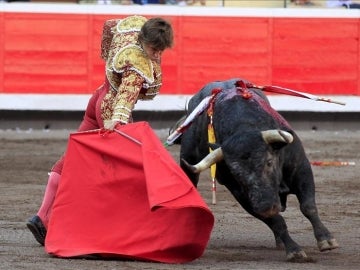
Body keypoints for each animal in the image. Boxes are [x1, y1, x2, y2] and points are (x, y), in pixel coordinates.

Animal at [179, 78, 338, 262]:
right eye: (236, 173)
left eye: (268, 162)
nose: (266, 206)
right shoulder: (242, 194)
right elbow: (276, 221)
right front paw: (294, 250)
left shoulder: (301, 169)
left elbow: (308, 207)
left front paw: (326, 240)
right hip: (188, 160)